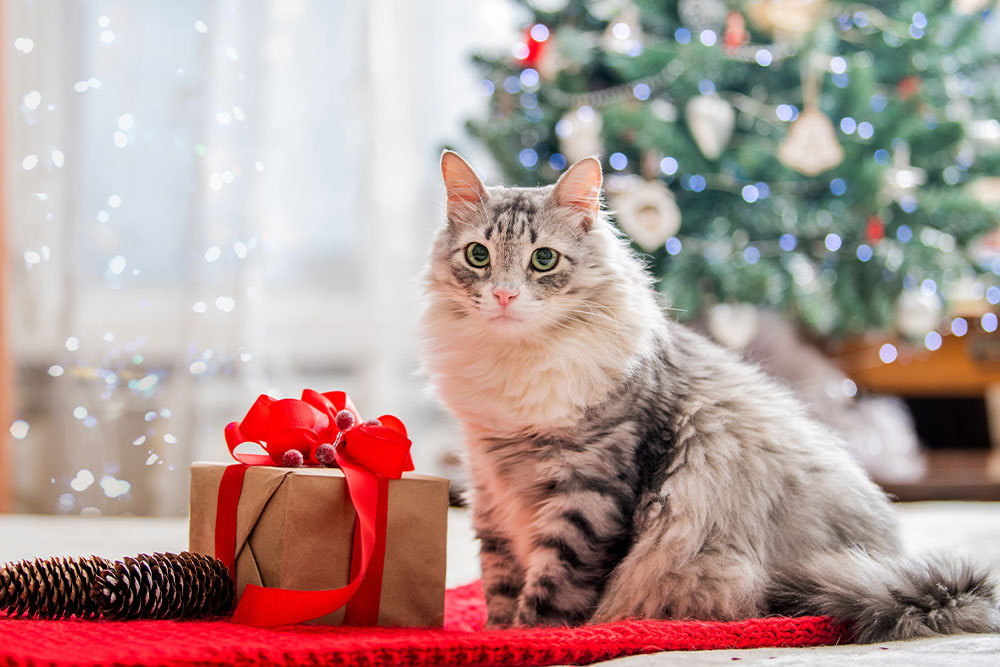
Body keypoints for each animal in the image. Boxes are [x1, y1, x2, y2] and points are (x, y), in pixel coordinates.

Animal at [416, 150, 1000, 640]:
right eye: (477, 255)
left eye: (542, 260)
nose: (504, 295)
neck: (514, 369)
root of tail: (889, 560)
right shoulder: (489, 484)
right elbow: (499, 581)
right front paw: (494, 633)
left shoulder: (589, 489)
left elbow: (554, 586)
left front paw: (527, 638)